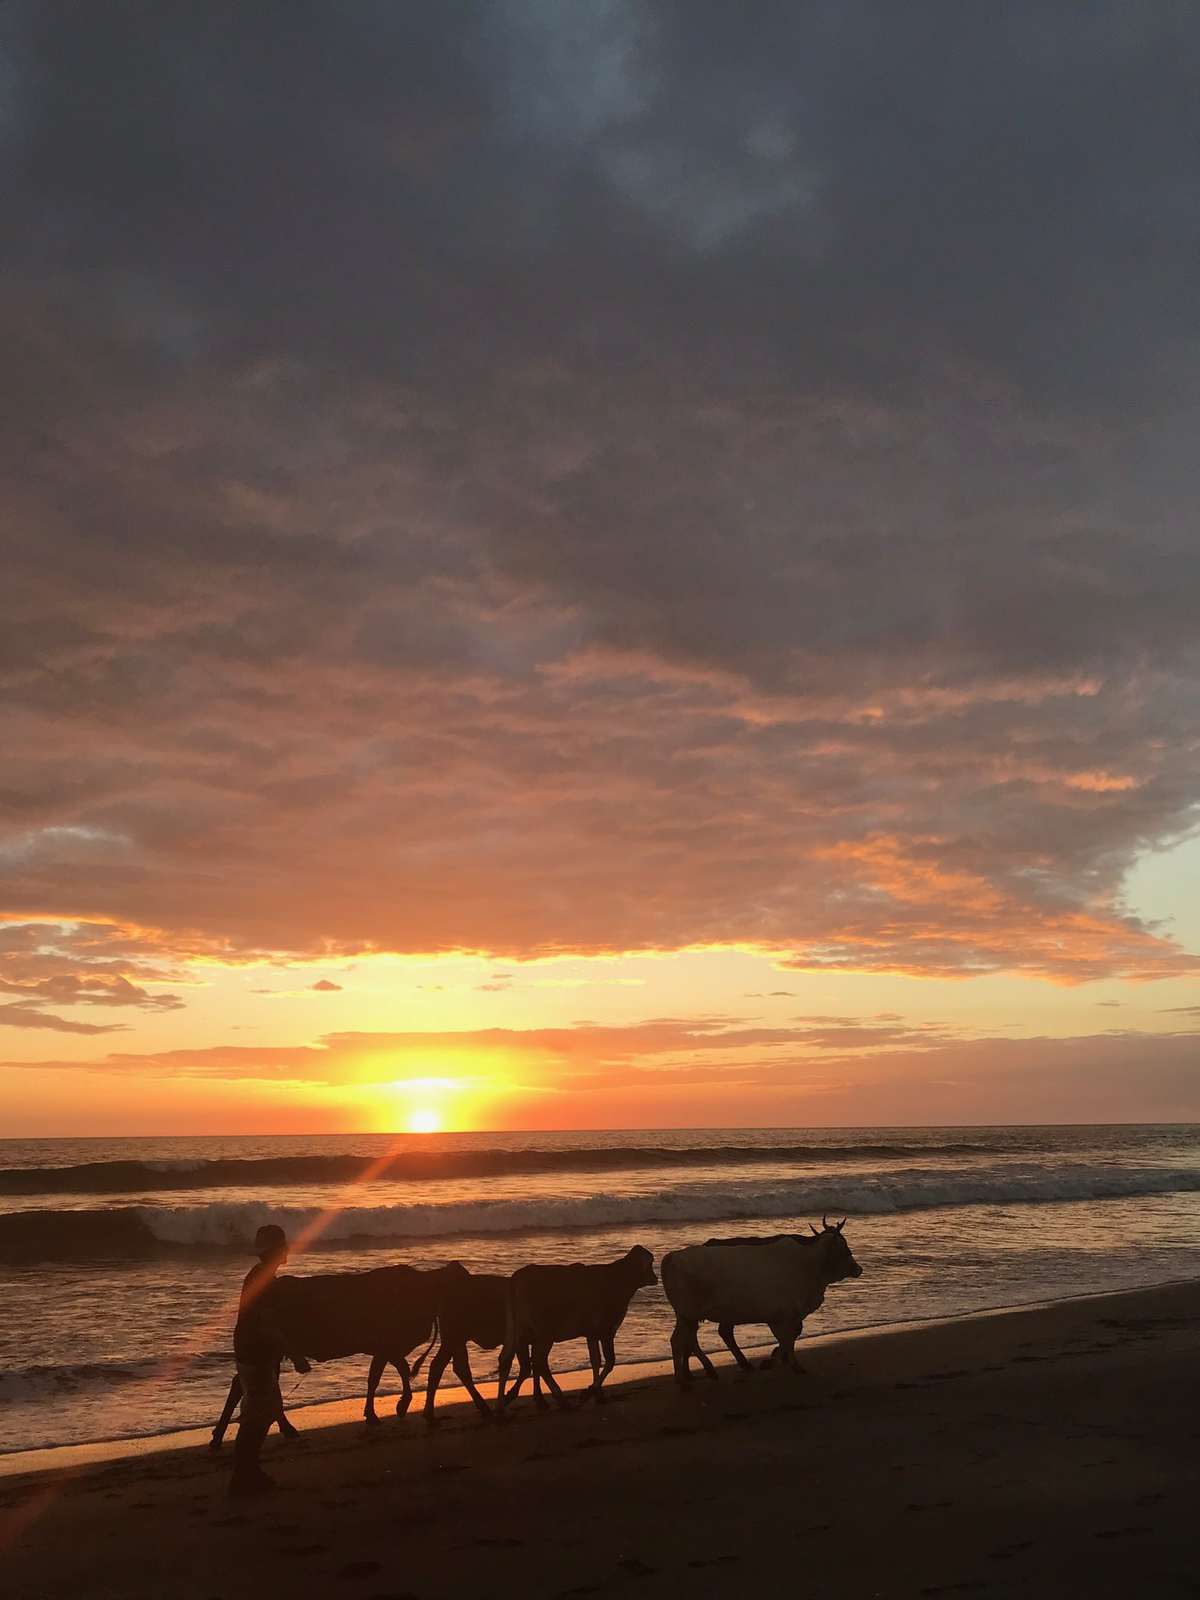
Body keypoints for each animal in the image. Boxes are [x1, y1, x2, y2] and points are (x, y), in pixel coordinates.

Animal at [659, 1216, 864, 1382]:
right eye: (844, 1248)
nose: (858, 1269)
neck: (810, 1263)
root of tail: (673, 1256)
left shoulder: (781, 1316)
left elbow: (787, 1339)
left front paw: (777, 1360)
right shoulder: (786, 1315)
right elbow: (788, 1339)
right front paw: (788, 1363)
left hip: (688, 1316)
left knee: (689, 1339)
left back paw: (699, 1372)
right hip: (688, 1313)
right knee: (682, 1340)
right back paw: (686, 1378)